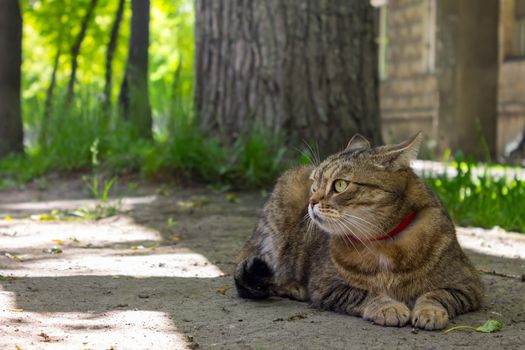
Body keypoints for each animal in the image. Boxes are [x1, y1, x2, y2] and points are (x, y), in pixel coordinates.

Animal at [235, 133, 482, 330]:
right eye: (314, 184)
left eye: (340, 185)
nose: (311, 201)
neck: (384, 242)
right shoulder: (327, 286)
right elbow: (364, 292)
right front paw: (387, 307)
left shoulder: (468, 284)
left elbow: (437, 294)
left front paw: (429, 311)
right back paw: (294, 287)